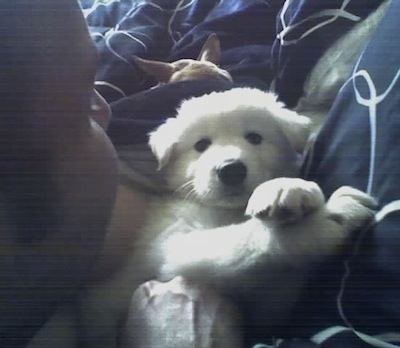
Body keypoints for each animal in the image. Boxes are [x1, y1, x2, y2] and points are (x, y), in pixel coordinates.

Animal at [79, 87, 376, 348]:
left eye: (254, 138)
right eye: (201, 145)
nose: (230, 169)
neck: (226, 210)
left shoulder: (269, 309)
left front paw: (284, 187)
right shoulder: (173, 247)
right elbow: (241, 241)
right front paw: (330, 217)